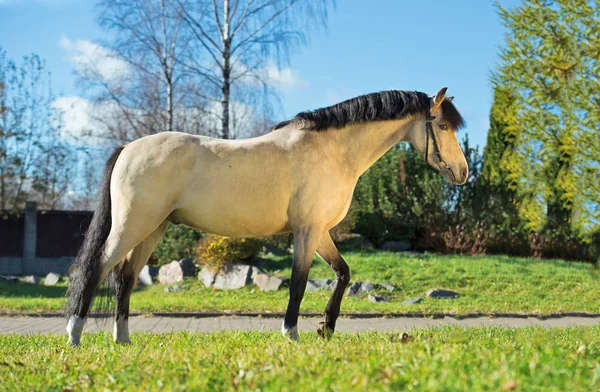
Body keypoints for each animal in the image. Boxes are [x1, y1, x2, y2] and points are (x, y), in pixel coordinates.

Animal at [65, 87, 468, 344]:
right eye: (443, 126)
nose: (463, 173)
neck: (332, 151)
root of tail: (128, 147)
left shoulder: (320, 232)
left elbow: (343, 273)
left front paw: (326, 328)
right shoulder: (306, 231)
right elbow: (298, 283)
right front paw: (292, 333)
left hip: (152, 229)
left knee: (125, 278)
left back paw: (122, 341)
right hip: (132, 226)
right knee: (95, 269)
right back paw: (74, 337)